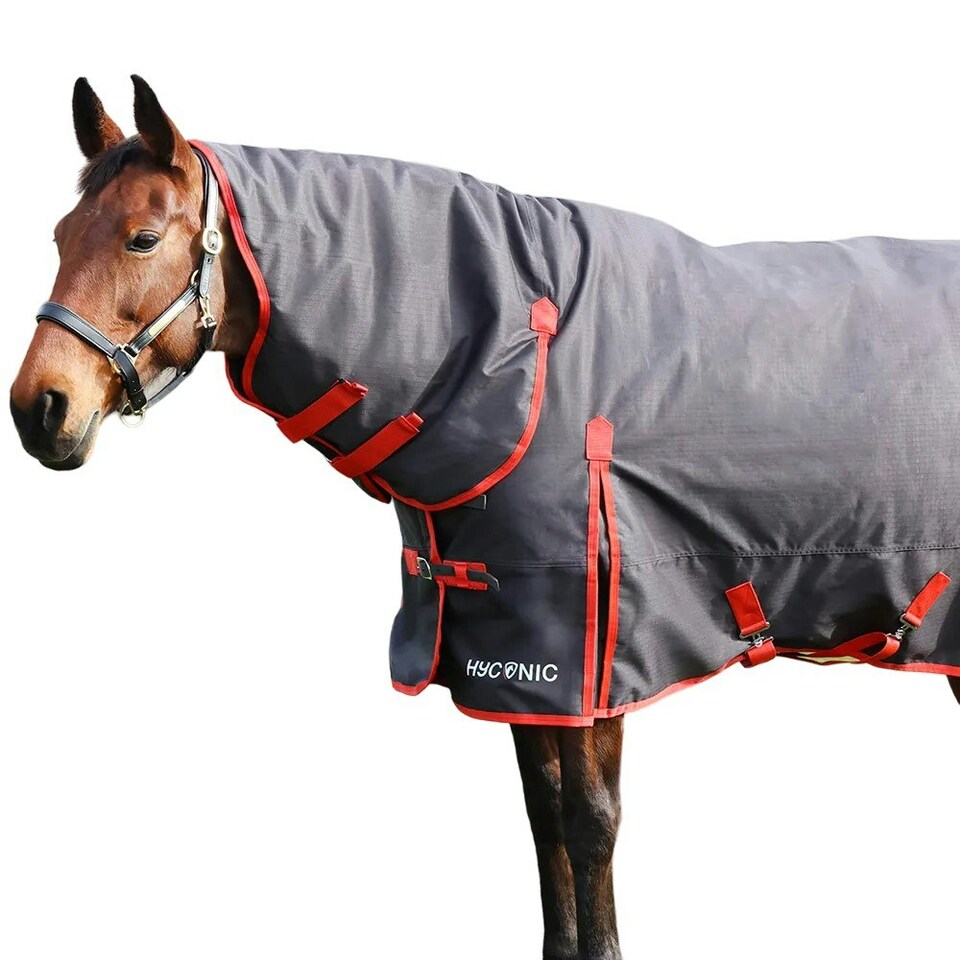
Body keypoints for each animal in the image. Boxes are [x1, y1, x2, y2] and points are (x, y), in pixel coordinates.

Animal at [11, 76, 960, 960]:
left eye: (142, 238)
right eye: (59, 236)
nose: (38, 408)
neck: (528, 361)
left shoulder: (589, 655)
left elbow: (590, 824)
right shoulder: (510, 652)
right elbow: (545, 821)